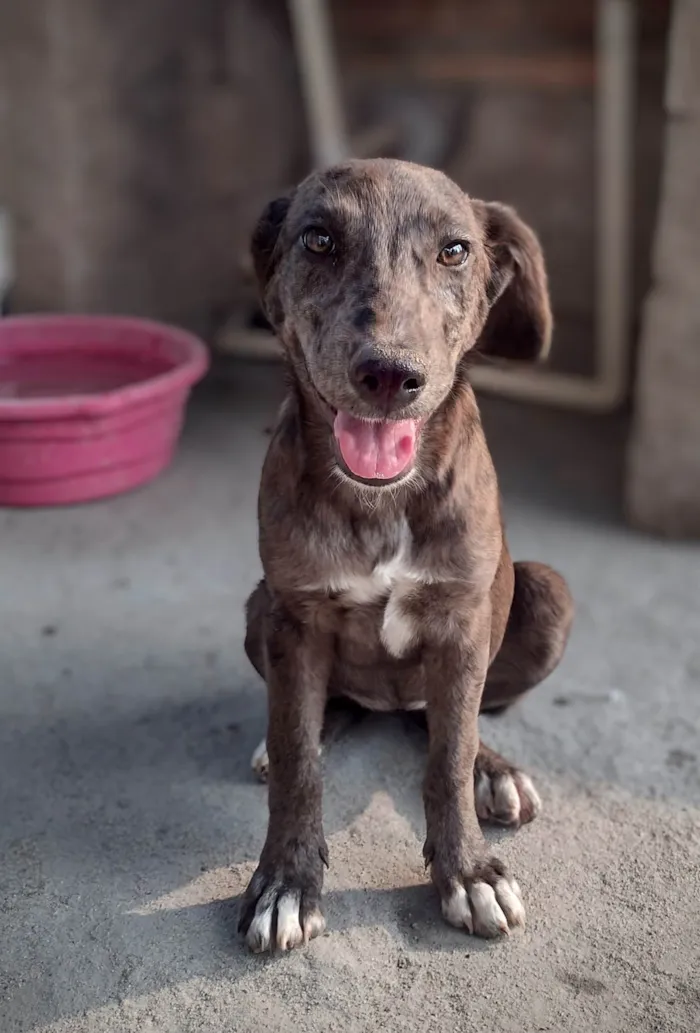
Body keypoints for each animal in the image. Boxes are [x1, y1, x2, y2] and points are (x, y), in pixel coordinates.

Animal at [238, 157, 574, 954]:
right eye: (319, 239)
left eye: (455, 251)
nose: (390, 375)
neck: (382, 500)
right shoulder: (294, 616)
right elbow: (296, 757)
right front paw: (286, 881)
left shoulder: (461, 625)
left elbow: (448, 757)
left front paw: (469, 872)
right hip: (259, 607)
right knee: (319, 715)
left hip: (547, 592)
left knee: (451, 720)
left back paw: (496, 771)